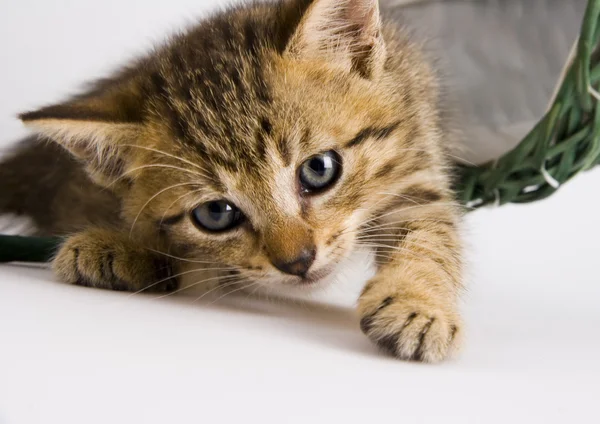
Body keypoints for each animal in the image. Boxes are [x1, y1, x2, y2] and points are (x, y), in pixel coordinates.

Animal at [0, 0, 464, 362]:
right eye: (216, 213)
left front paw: (416, 302)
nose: (297, 262)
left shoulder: (415, 155)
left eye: (319, 169)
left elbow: (429, 232)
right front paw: (118, 249)